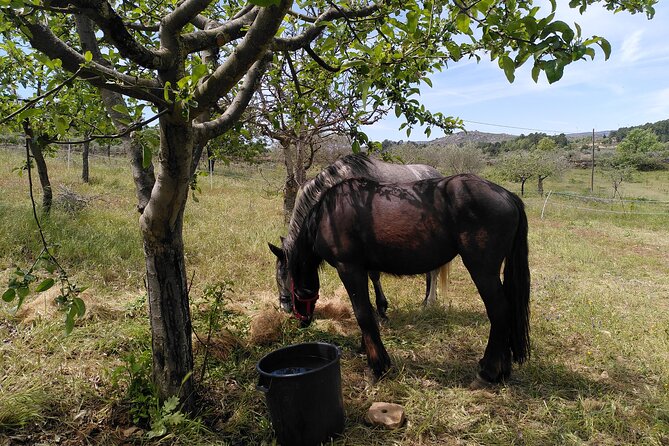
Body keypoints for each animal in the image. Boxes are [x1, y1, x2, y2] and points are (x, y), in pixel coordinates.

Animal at [268, 154, 448, 320]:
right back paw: (425, 300)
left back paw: (430, 302)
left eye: (286, 276)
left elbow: (373, 275)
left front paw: (381, 309)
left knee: (434, 271)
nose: (285, 307)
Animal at [284, 174, 528, 386]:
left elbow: (362, 314)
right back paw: (501, 370)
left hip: (482, 270)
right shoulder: (365, 270)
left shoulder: (349, 268)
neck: (327, 214)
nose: (301, 320)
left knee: (500, 311)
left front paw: (378, 366)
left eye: (292, 289)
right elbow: (369, 311)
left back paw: (488, 372)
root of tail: (507, 195)